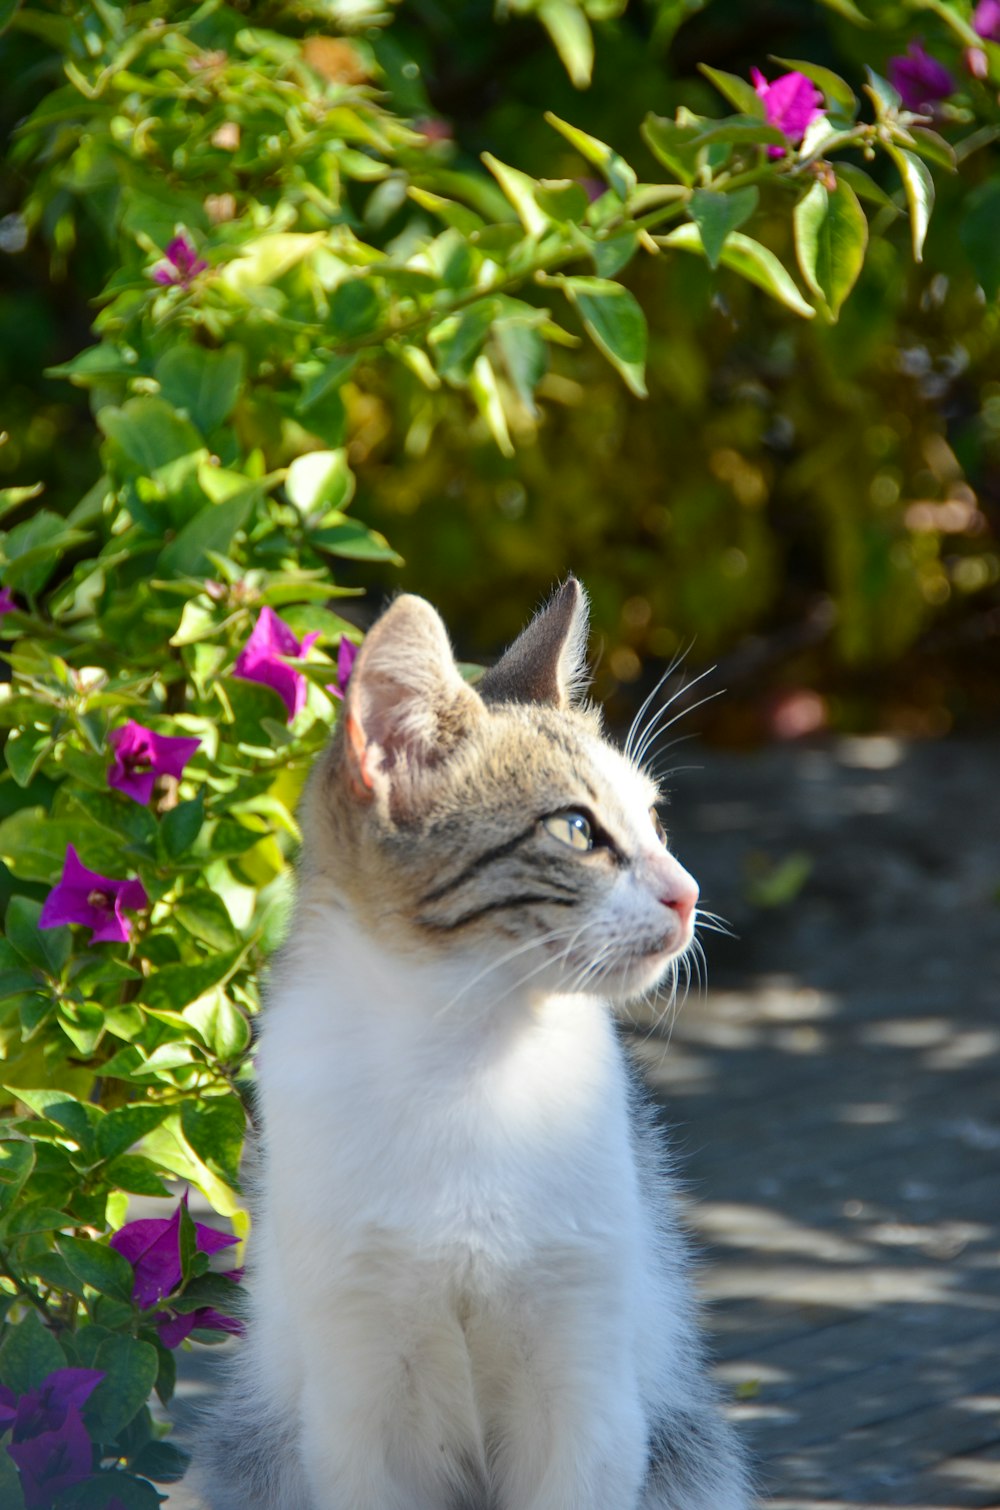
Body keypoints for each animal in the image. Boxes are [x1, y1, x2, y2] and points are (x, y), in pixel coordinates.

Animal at [199, 579, 752, 1510]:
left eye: (654, 819)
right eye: (576, 831)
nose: (688, 893)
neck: (469, 1057)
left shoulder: (584, 1382)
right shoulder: (360, 1395)